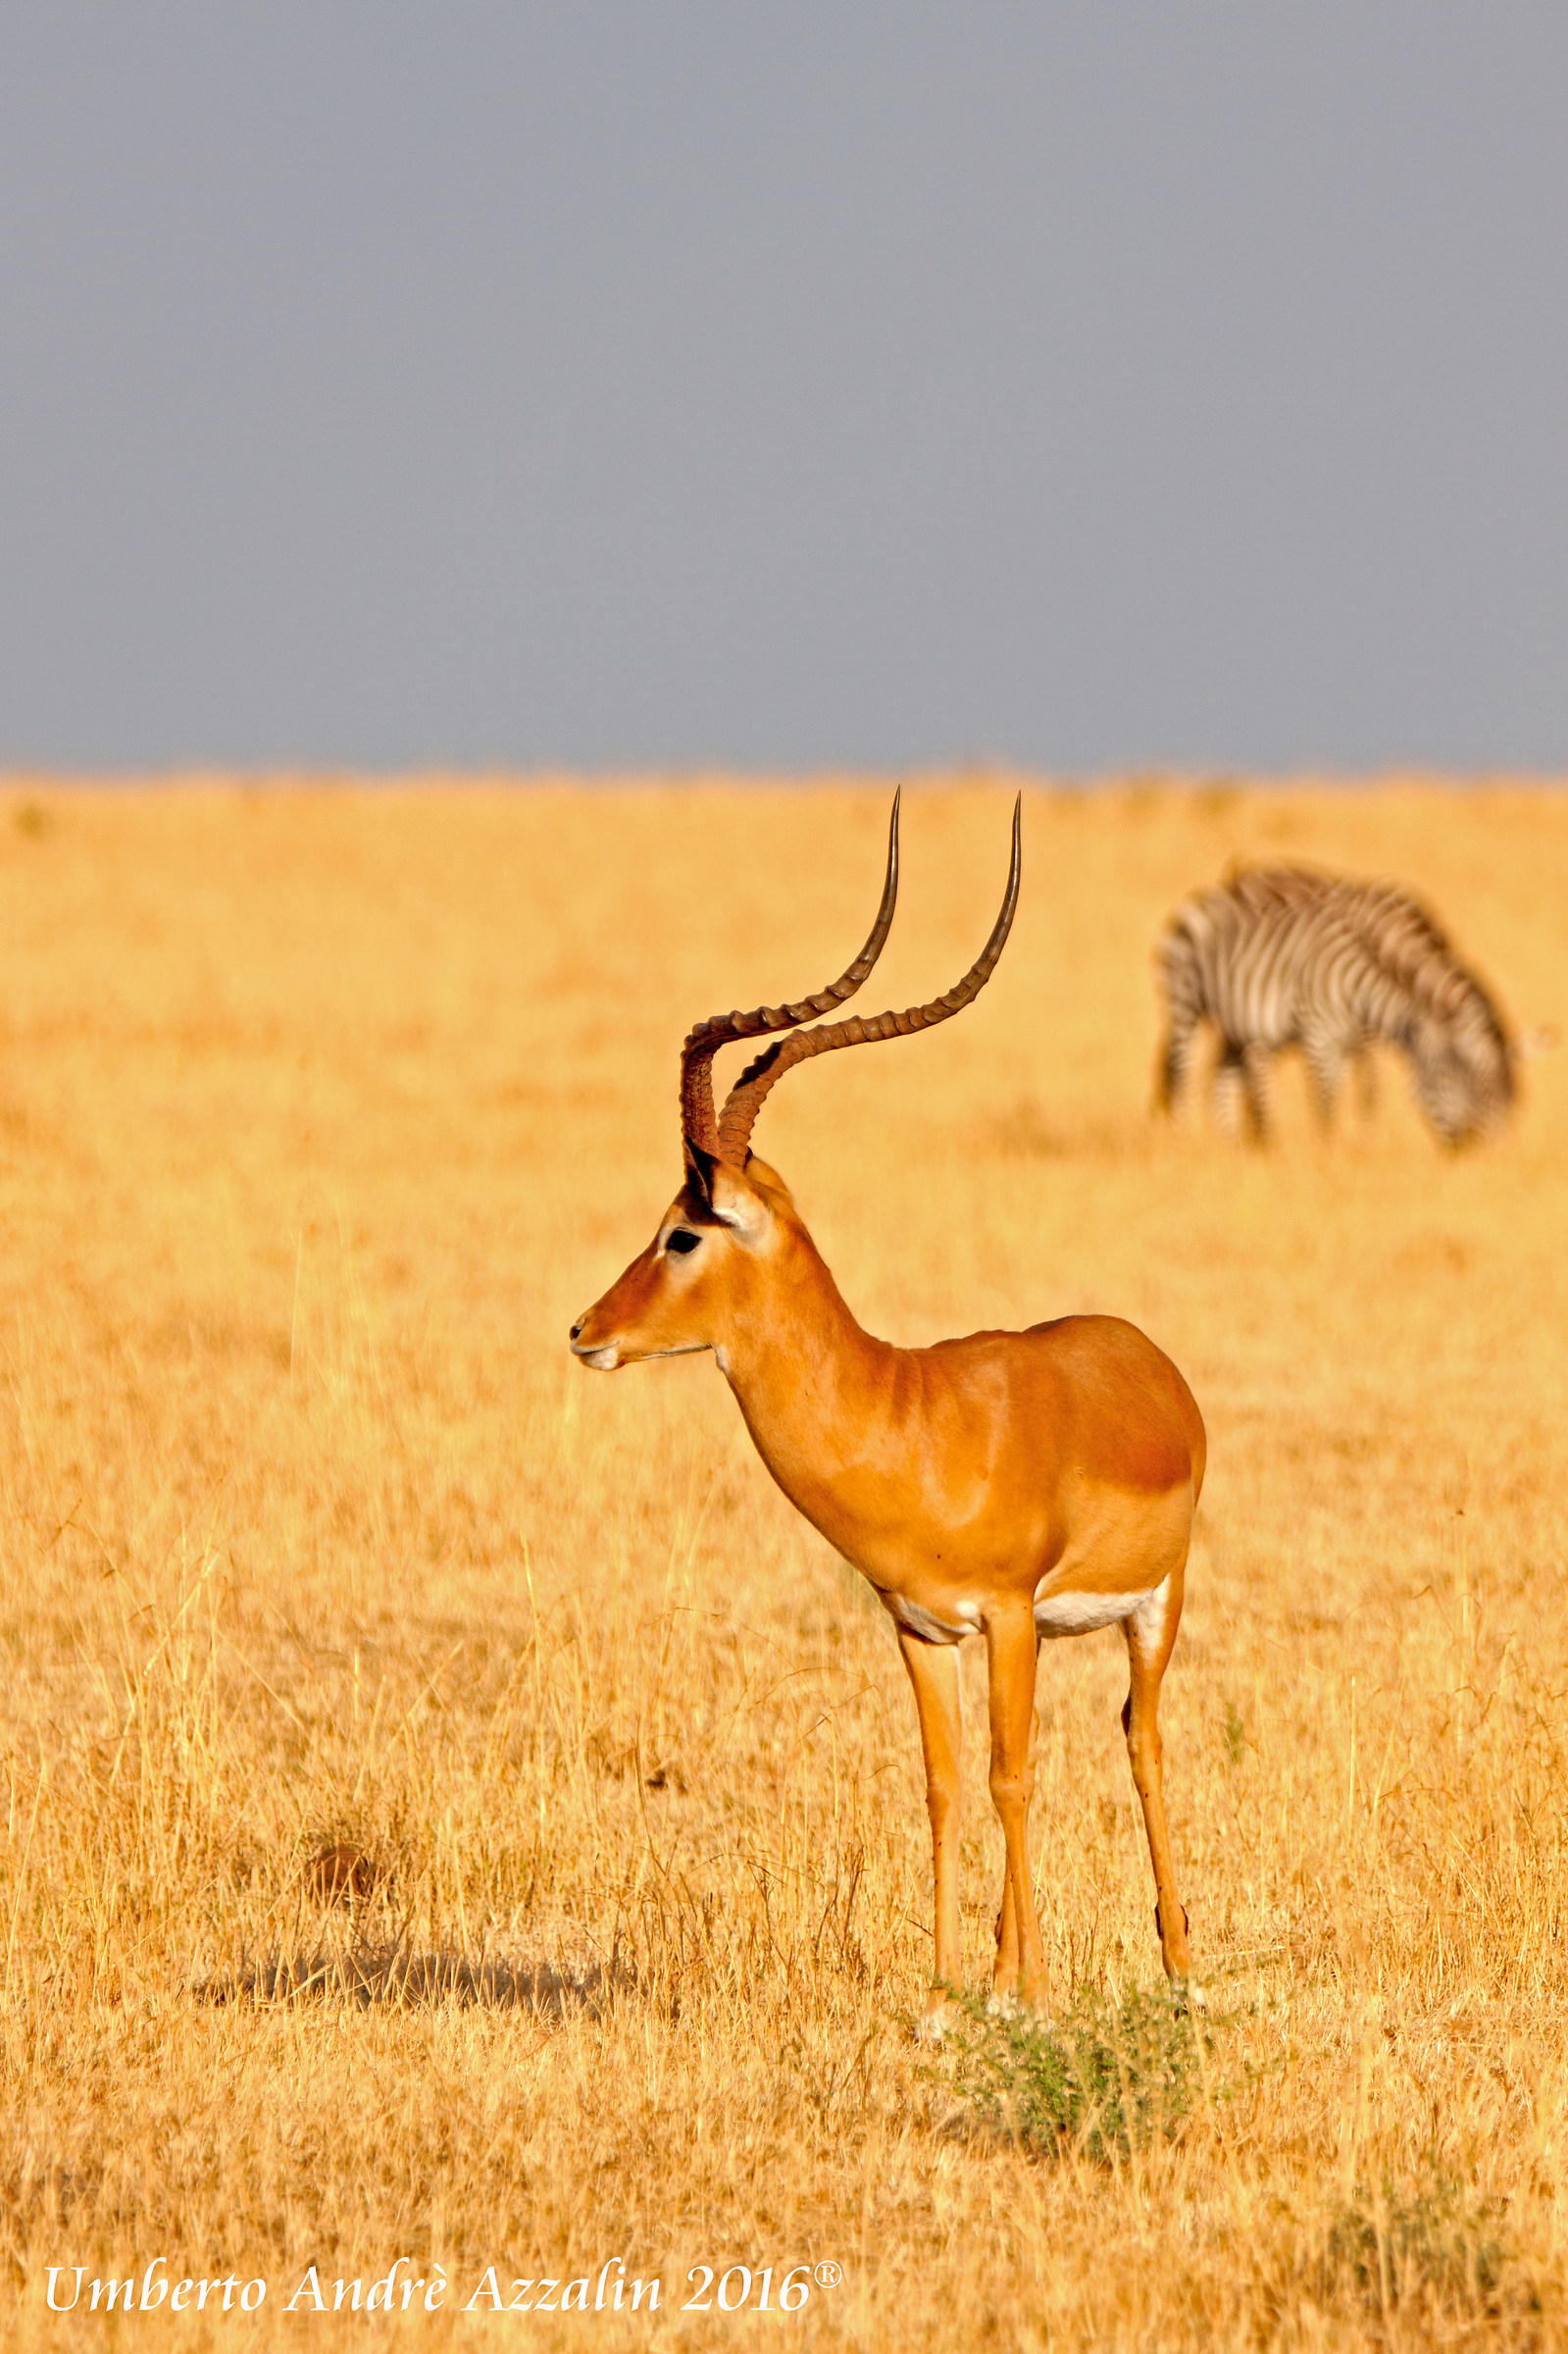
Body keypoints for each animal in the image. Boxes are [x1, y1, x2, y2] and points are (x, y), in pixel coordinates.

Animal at [570, 797, 1206, 2028]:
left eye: (684, 1231)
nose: (586, 1330)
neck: (910, 1421)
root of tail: (1150, 1363)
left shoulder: (1005, 1614)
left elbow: (1013, 1780)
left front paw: (1027, 1997)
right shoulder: (920, 1627)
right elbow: (947, 1785)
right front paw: (954, 1989)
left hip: (1153, 1609)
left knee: (1144, 1744)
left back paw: (1182, 1971)